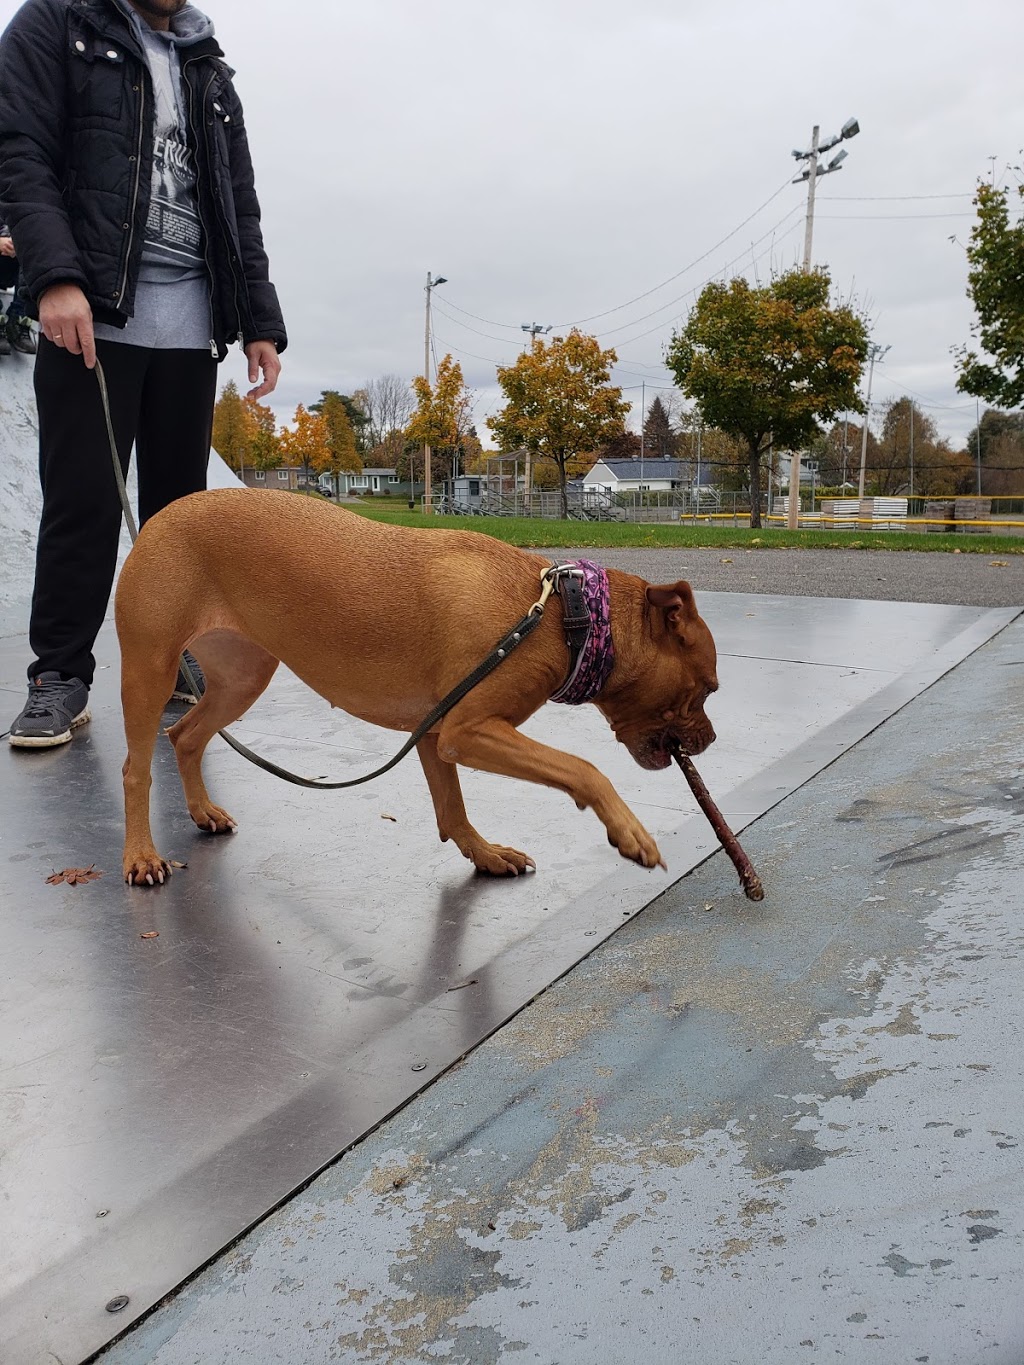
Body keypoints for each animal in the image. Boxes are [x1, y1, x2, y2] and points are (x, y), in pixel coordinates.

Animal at [116, 491, 715, 884]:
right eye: (707, 688)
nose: (708, 741)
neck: (561, 615)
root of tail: (161, 515)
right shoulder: (466, 731)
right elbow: (584, 769)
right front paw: (629, 831)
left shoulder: (434, 734)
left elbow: (452, 810)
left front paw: (484, 853)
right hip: (148, 673)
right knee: (135, 769)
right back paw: (141, 854)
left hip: (242, 679)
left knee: (186, 736)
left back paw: (202, 811)